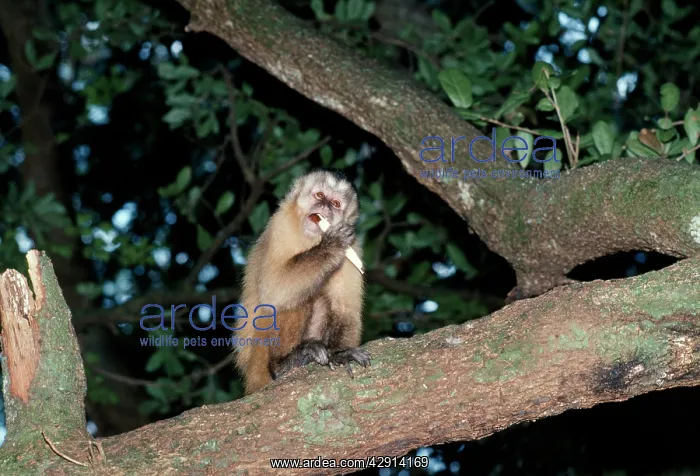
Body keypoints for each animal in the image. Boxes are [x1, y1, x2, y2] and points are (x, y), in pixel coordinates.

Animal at [233, 170, 371, 394]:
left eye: (336, 203)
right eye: (320, 195)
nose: (325, 206)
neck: (312, 239)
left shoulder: (354, 245)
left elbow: (345, 310)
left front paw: (341, 353)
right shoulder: (280, 224)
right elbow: (275, 288)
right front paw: (331, 246)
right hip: (258, 358)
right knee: (290, 300)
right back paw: (284, 363)